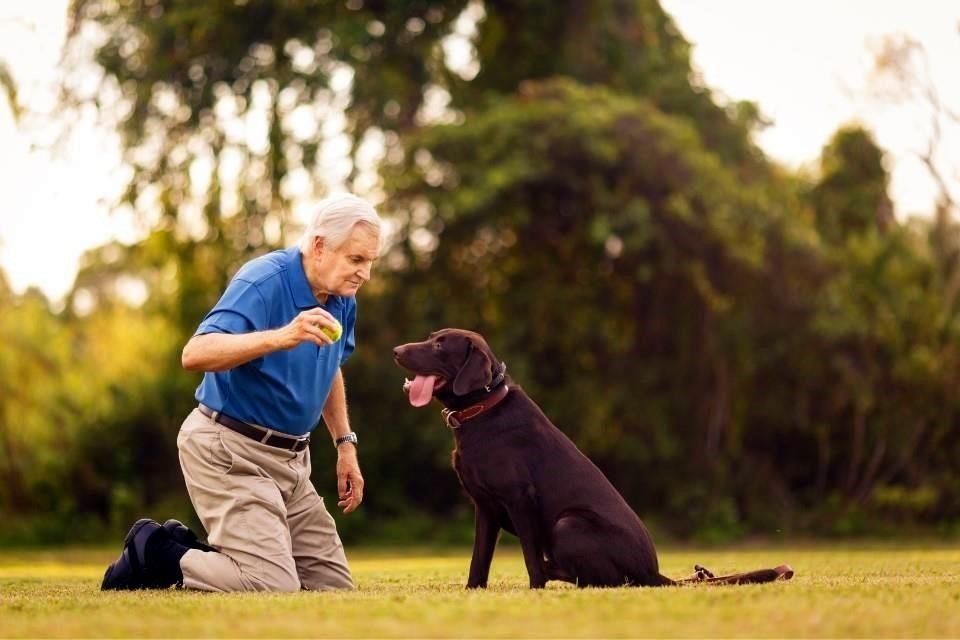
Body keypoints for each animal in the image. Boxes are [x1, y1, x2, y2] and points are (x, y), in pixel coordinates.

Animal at [394, 330, 792, 592]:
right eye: (431, 338)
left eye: (439, 345)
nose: (397, 350)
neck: (483, 408)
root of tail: (653, 573)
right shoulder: (485, 508)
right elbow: (479, 560)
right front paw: (472, 592)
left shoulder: (520, 499)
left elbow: (529, 558)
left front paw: (535, 588)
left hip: (568, 523)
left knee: (603, 580)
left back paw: (557, 572)